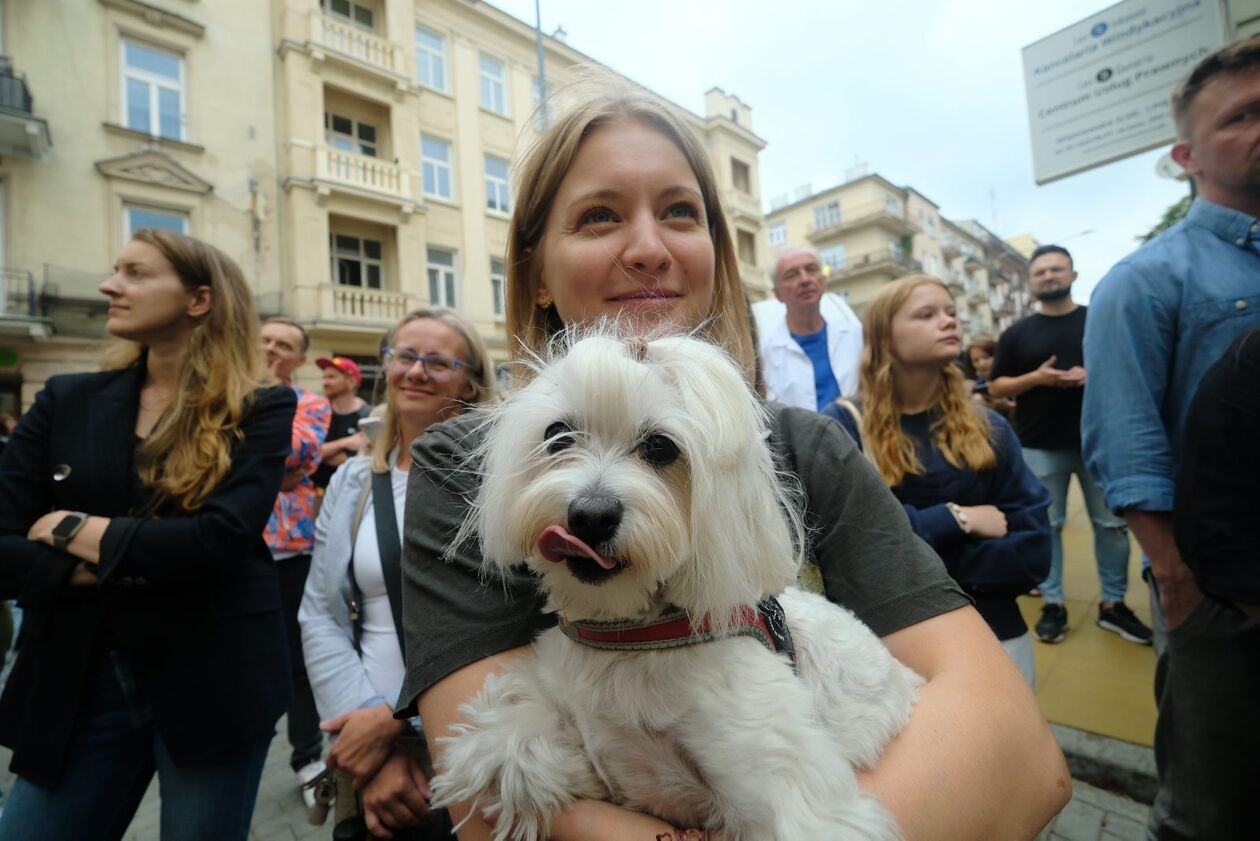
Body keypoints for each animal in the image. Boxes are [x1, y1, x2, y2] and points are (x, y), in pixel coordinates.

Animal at [435, 330, 927, 841]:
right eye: (557, 435)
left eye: (660, 448)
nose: (591, 516)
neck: (628, 640)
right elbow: (517, 738)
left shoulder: (784, 780)